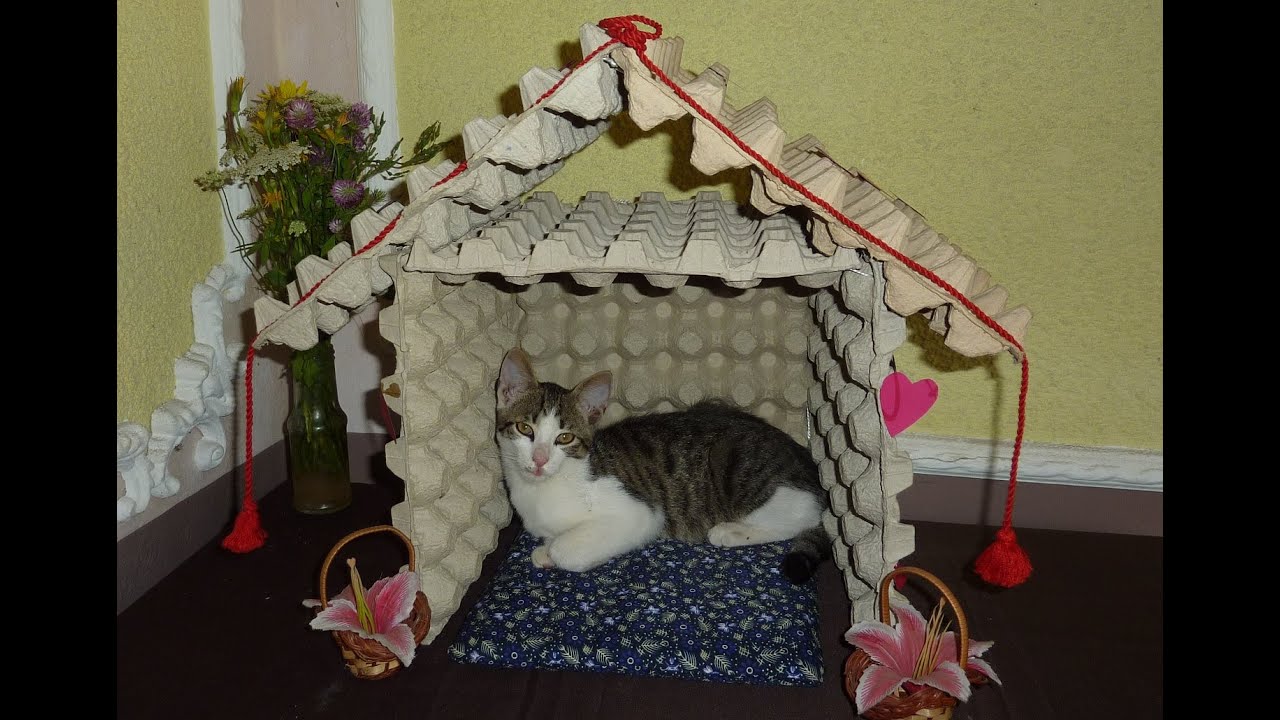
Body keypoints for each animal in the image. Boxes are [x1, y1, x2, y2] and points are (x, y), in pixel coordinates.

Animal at [488, 343, 829, 584]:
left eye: (565, 438)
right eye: (524, 428)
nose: (540, 459)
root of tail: (807, 461)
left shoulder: (641, 513)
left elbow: (567, 549)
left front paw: (557, 552)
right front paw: (545, 549)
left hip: (740, 473)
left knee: (805, 517)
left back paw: (731, 532)